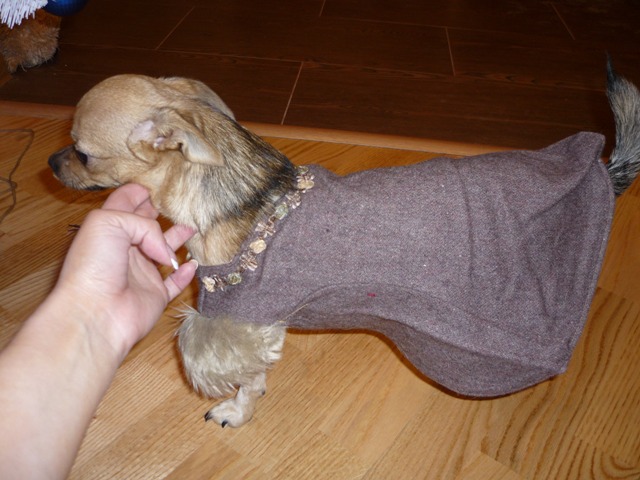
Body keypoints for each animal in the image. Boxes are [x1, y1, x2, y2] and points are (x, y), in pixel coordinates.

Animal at [49, 61, 640, 428]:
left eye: (82, 152)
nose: (51, 162)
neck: (244, 197)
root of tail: (602, 173)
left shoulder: (244, 315)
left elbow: (241, 376)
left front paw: (235, 410)